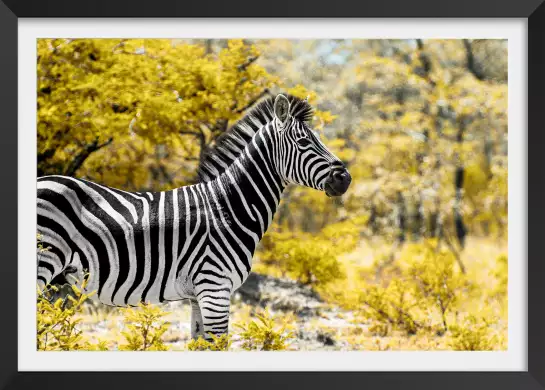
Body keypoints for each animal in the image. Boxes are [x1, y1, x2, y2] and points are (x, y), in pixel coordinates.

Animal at [38, 93, 352, 338]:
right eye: (303, 143)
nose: (345, 178)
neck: (227, 207)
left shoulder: (198, 295)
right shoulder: (215, 287)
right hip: (44, 262)